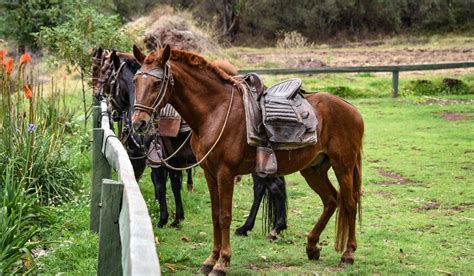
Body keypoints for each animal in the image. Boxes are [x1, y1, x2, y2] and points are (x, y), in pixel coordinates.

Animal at [131, 45, 364, 274]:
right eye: (135, 80)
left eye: (157, 83)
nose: (138, 123)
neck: (215, 111)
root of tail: (351, 109)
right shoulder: (210, 173)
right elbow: (215, 215)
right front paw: (210, 259)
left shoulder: (225, 173)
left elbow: (225, 216)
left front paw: (222, 262)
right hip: (313, 169)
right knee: (331, 200)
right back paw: (312, 246)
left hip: (342, 166)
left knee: (349, 203)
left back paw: (348, 254)